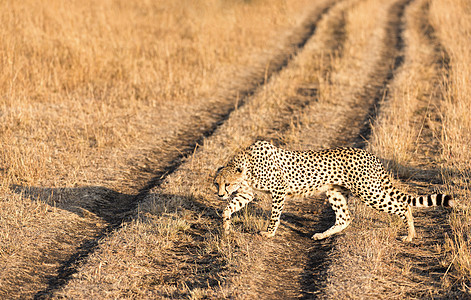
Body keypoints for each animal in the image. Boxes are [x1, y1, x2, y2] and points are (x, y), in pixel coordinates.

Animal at [215, 141, 454, 241]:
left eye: (226, 184)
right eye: (216, 184)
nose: (219, 194)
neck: (246, 165)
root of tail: (370, 154)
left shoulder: (279, 191)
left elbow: (274, 216)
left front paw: (269, 233)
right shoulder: (247, 192)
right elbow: (229, 208)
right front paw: (226, 228)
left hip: (369, 192)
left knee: (403, 206)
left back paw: (410, 235)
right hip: (336, 192)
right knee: (345, 218)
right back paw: (321, 235)